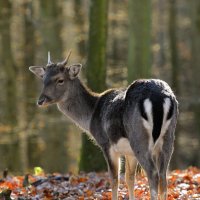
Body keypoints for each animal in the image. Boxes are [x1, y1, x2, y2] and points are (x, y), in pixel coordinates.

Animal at [29, 50, 178, 199]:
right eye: (43, 80)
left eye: (60, 80)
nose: (41, 100)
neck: (91, 116)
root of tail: (158, 98)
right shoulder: (128, 152)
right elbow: (130, 178)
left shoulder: (106, 143)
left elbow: (114, 179)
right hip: (168, 138)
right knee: (163, 176)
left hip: (138, 137)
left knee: (153, 173)